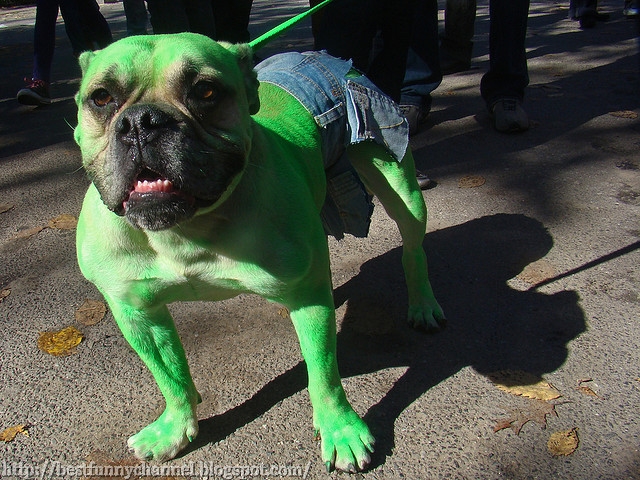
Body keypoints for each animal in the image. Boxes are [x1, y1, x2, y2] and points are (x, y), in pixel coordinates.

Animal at [74, 33, 444, 472]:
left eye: (205, 91)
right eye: (101, 97)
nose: (142, 122)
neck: (186, 231)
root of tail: (317, 56)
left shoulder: (306, 299)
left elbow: (323, 373)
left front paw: (341, 428)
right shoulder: (137, 313)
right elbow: (170, 376)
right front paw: (175, 426)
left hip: (397, 182)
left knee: (413, 247)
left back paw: (423, 304)